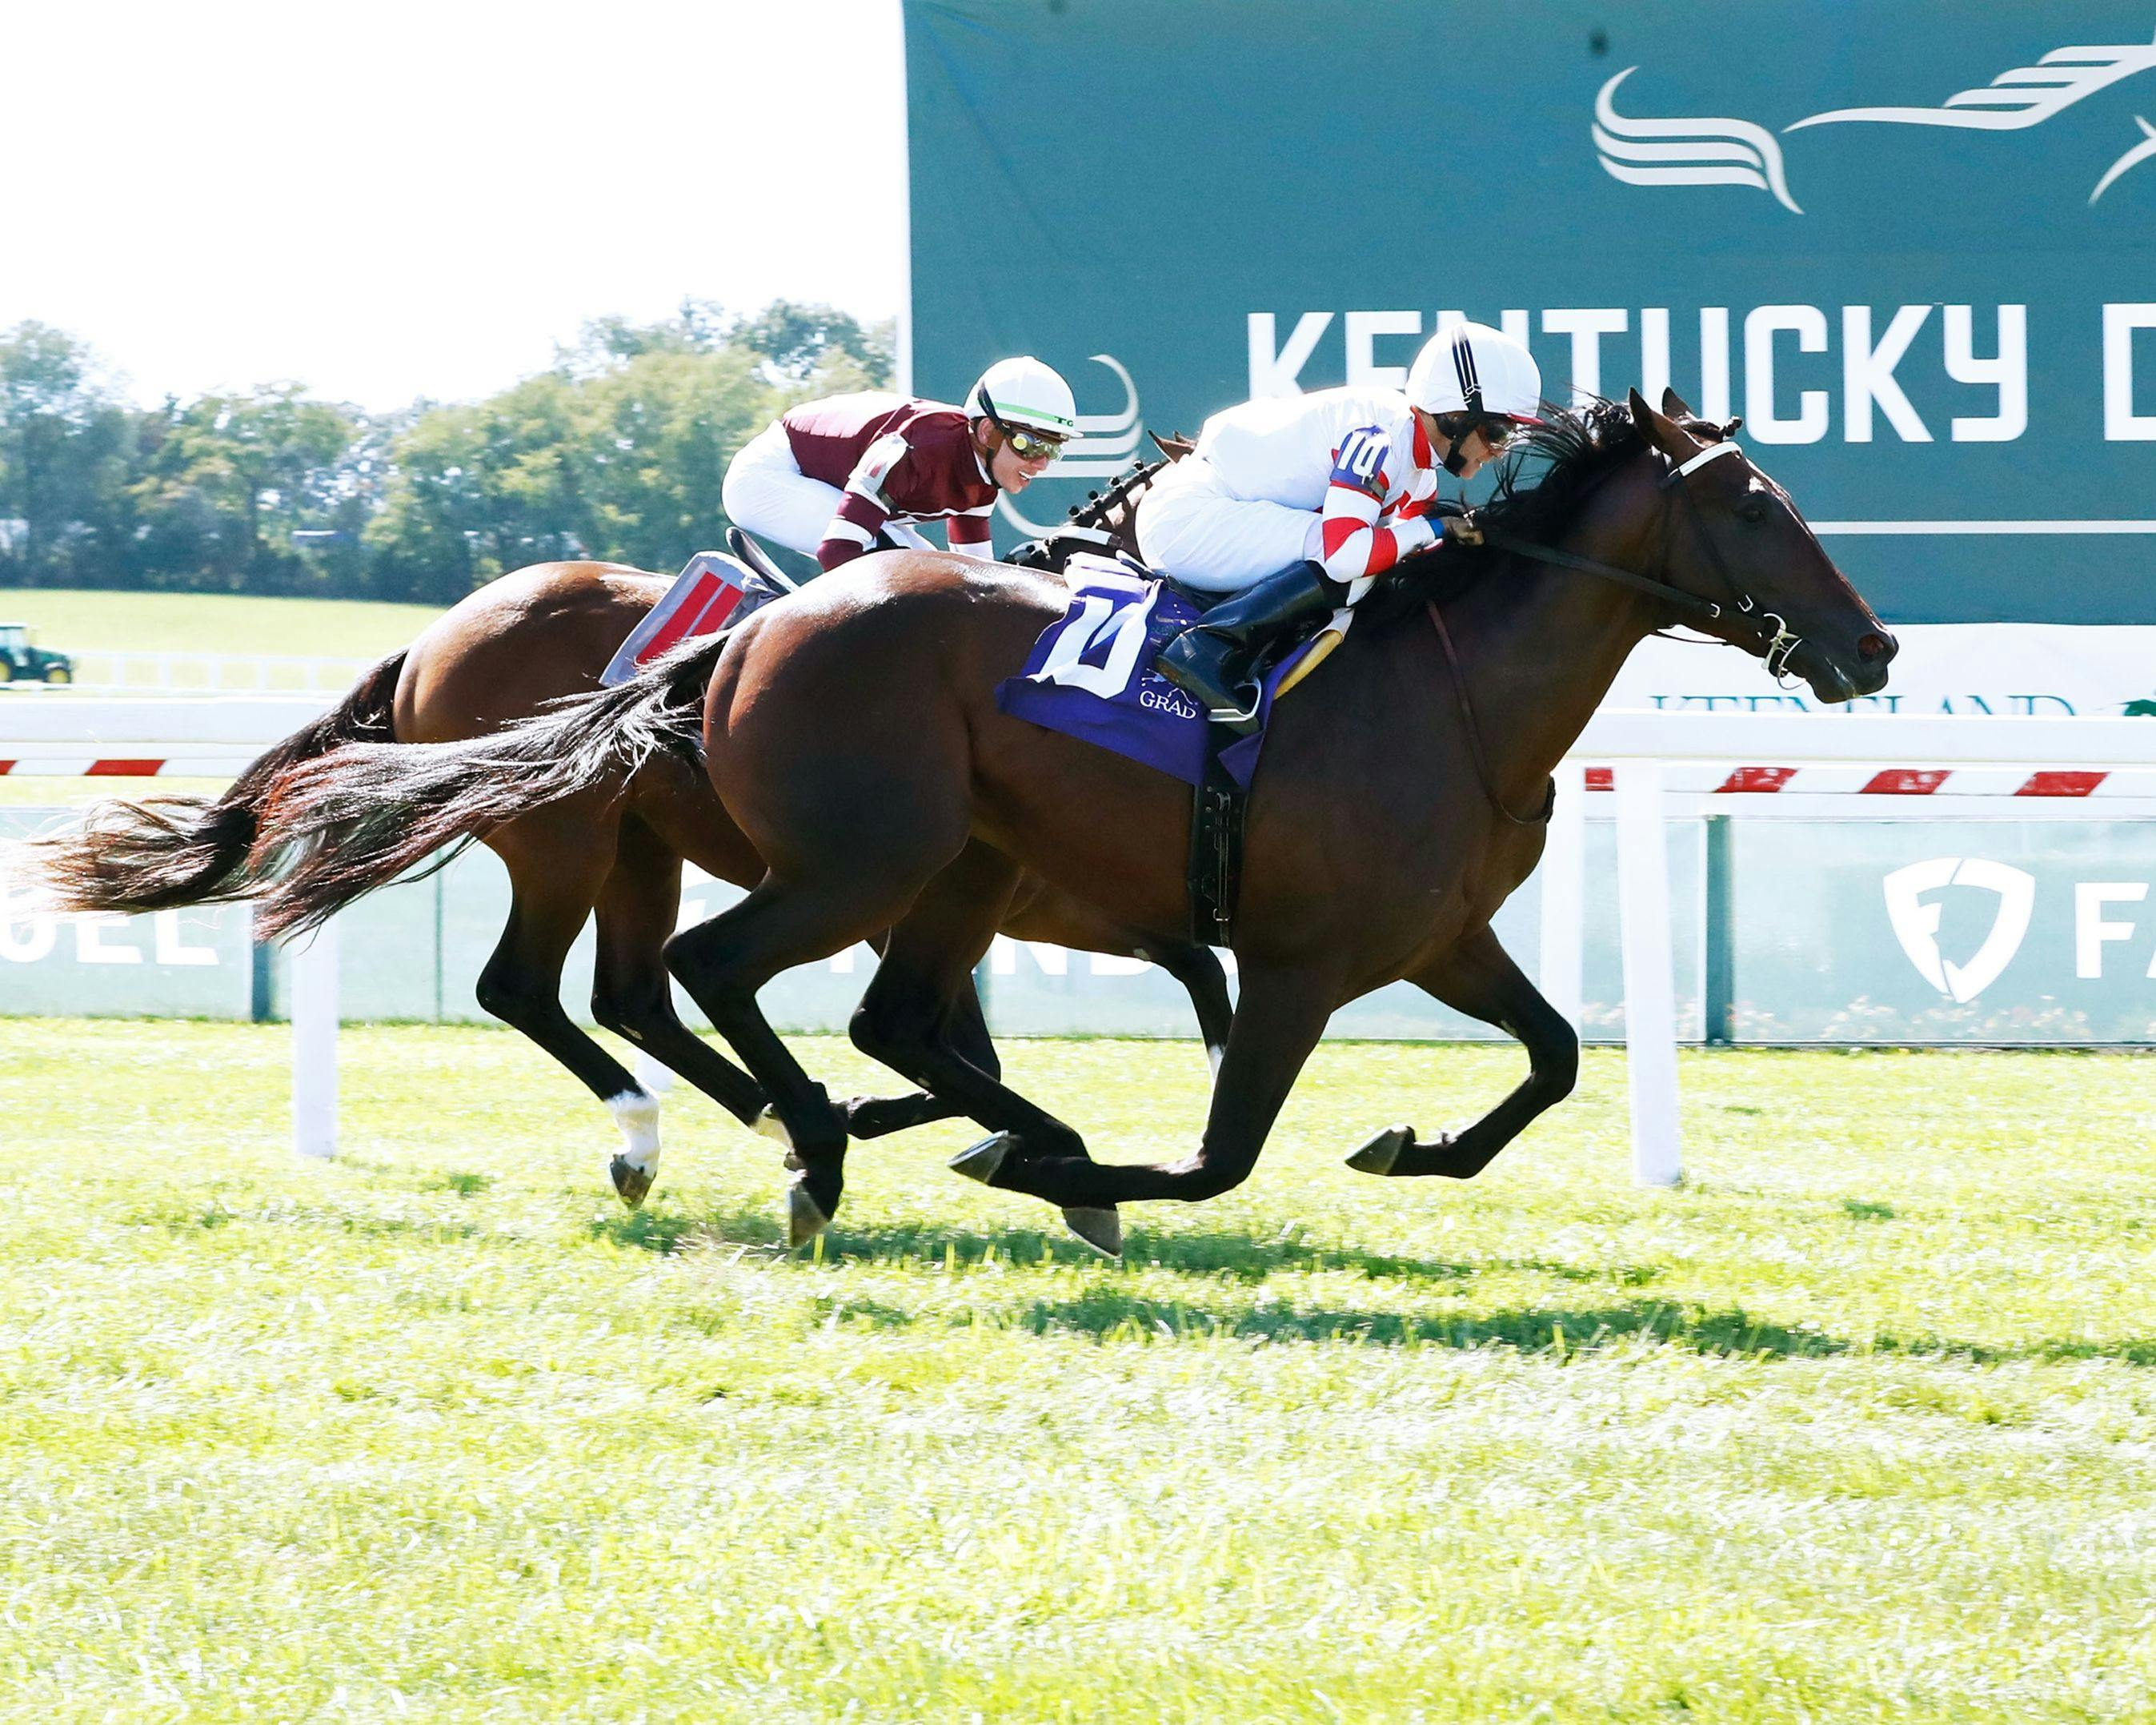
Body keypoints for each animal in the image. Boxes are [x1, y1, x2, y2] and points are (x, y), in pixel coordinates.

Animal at [29, 560, 1232, 1207]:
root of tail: (434, 637)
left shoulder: (1043, 904)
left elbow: (1167, 980)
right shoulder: (980, 895)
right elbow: (973, 1042)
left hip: (638, 847)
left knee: (632, 991)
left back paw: (752, 1114)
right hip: (565, 835)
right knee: (527, 987)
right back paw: (680, 1123)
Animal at [218, 390, 1897, 1250]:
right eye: (1752, 504)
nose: (1870, 647)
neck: (1445, 689)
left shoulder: (1431, 936)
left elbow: (1549, 1060)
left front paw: (1406, 1145)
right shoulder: (1291, 960)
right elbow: (1215, 1145)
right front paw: (1033, 1169)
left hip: (856, 855)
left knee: (677, 994)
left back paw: (781, 1131)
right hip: (780, 852)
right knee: (639, 980)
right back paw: (798, 1146)